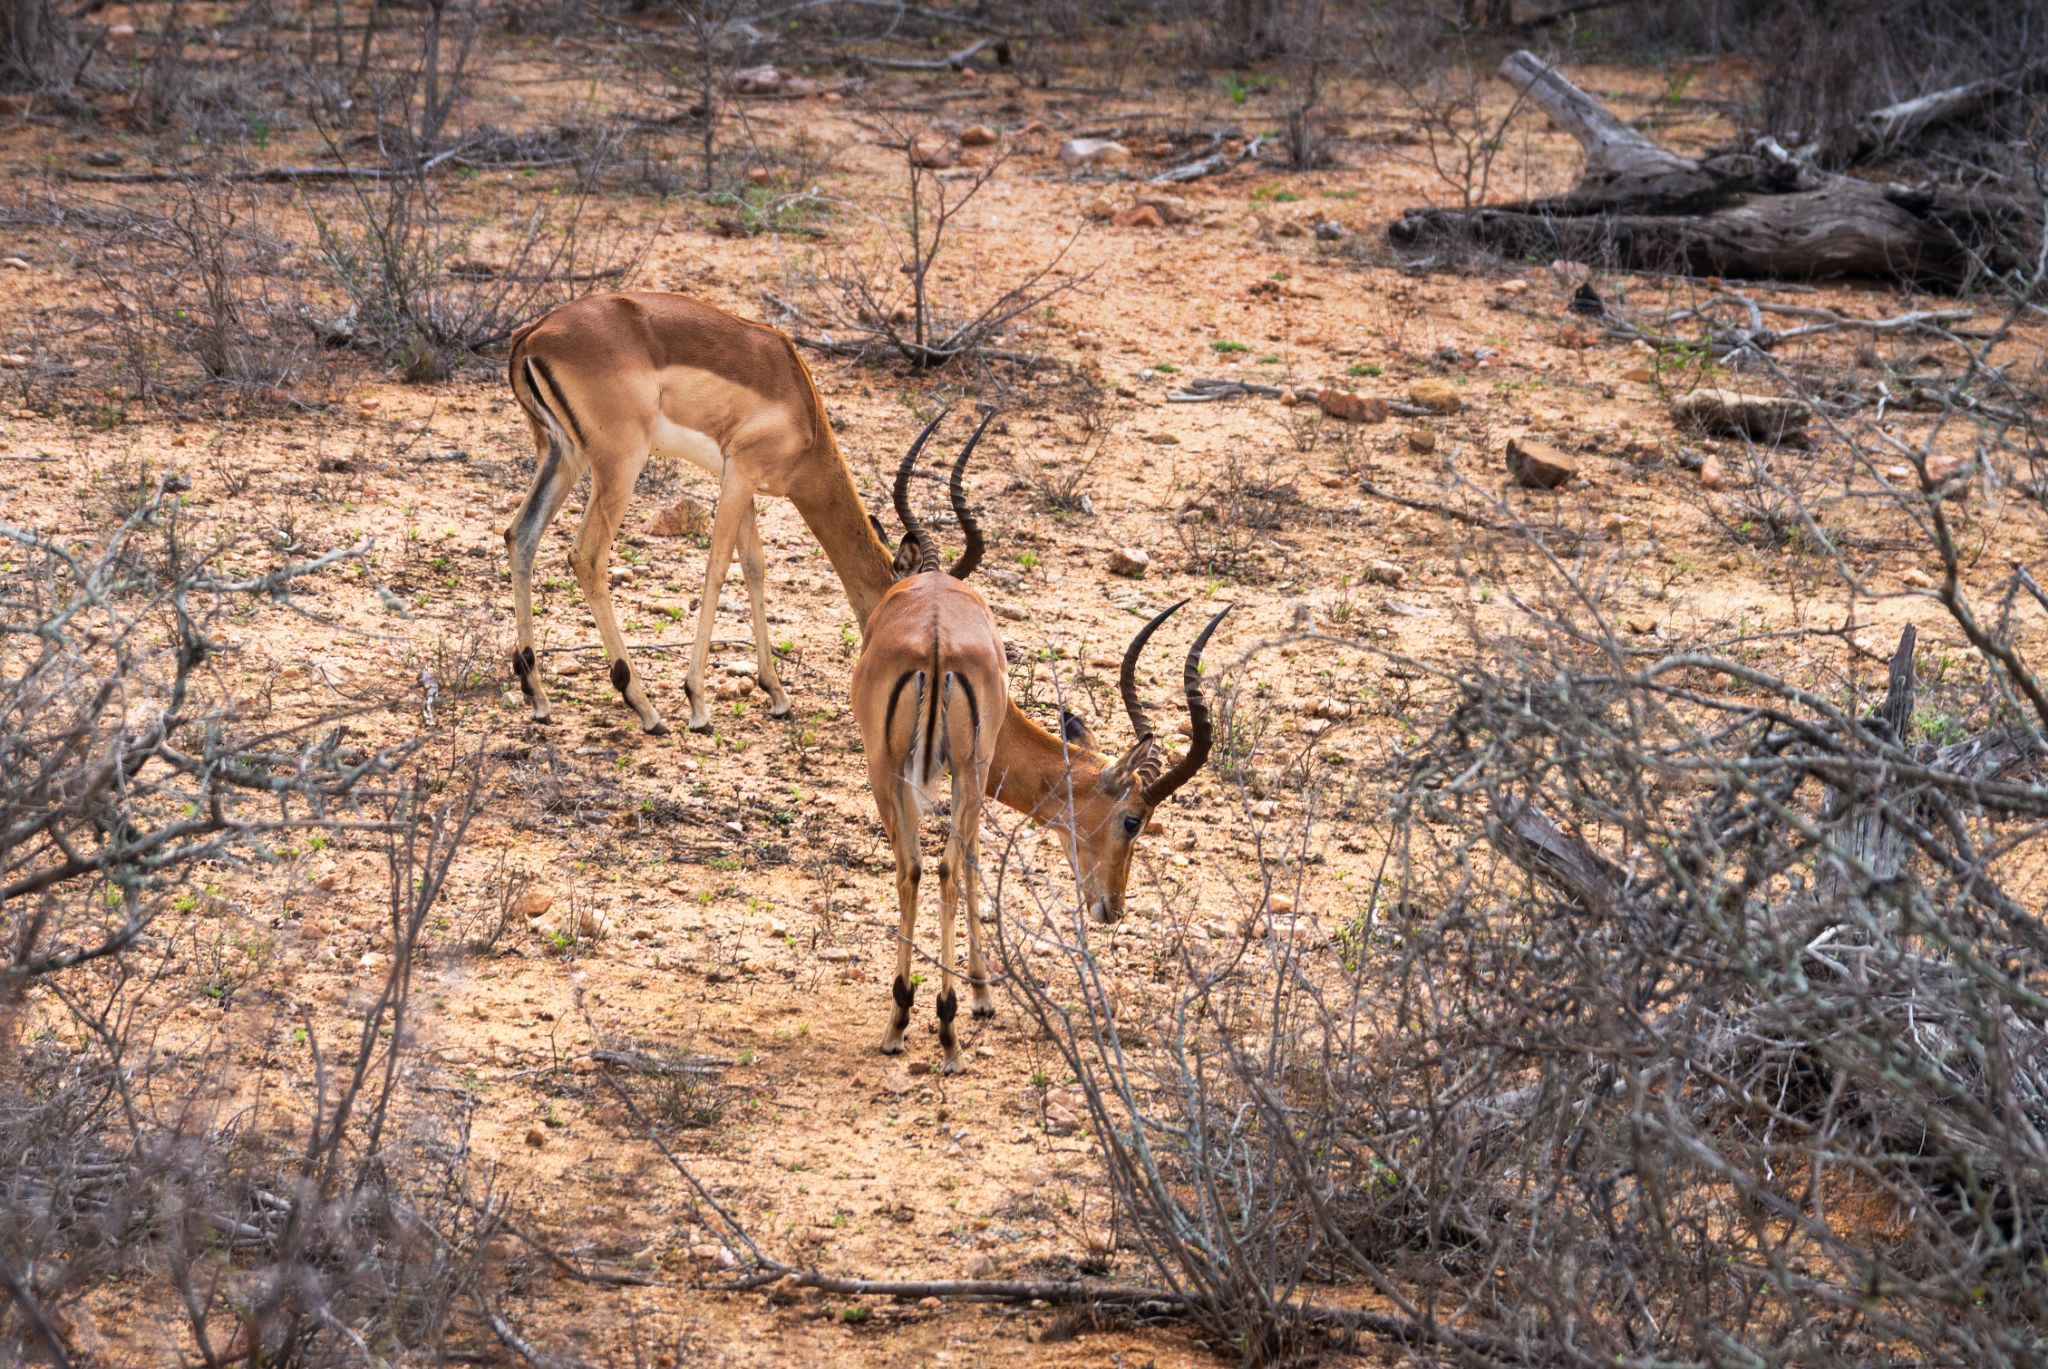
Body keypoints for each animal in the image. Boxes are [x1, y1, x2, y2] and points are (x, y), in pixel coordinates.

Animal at [501, 290, 1226, 915]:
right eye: (1132, 819)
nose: (1112, 907)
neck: (798, 402)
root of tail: (532, 332)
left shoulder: (748, 484)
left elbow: (754, 568)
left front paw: (775, 691)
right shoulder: (738, 474)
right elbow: (716, 571)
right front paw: (699, 703)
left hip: (561, 455)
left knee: (520, 534)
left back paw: (536, 691)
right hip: (617, 462)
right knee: (586, 556)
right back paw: (644, 704)